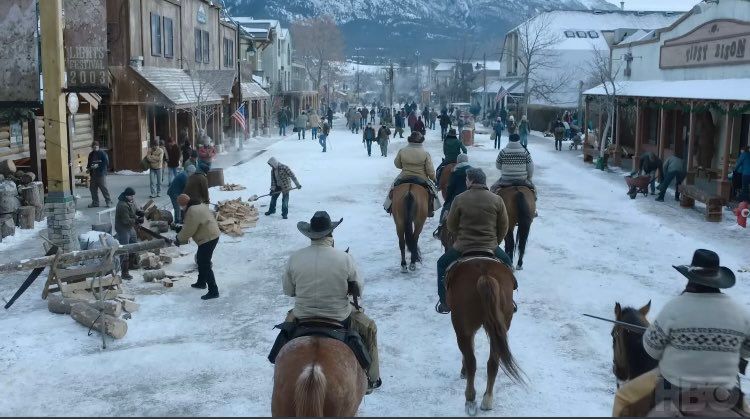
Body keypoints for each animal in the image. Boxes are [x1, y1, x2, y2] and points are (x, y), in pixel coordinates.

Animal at [446, 258, 524, 416]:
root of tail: (484, 275)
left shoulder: (465, 330)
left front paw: (463, 370)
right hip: (499, 329)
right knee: (493, 363)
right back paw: (487, 400)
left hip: (462, 329)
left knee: (472, 362)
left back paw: (470, 400)